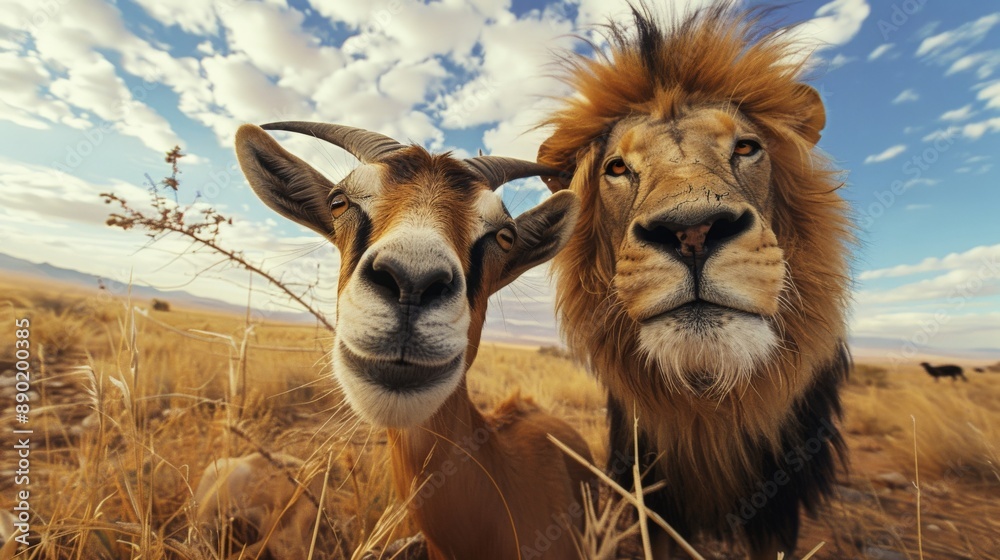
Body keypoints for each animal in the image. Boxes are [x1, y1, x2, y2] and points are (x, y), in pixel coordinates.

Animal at [538, 5, 852, 558]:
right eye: (616, 167)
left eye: (747, 147)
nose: (693, 232)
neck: (708, 401)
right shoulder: (657, 494)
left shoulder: (779, 503)